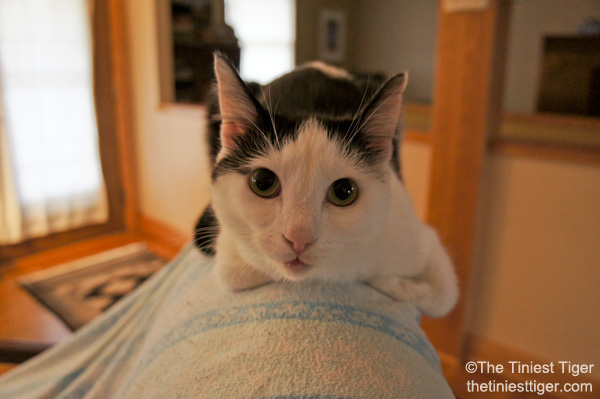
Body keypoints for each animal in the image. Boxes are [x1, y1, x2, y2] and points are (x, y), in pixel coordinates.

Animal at [195, 55, 458, 318]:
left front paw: (384, 281)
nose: (298, 239)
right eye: (263, 182)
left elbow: (443, 297)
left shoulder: (417, 239)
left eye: (344, 192)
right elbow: (237, 272)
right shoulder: (229, 249)